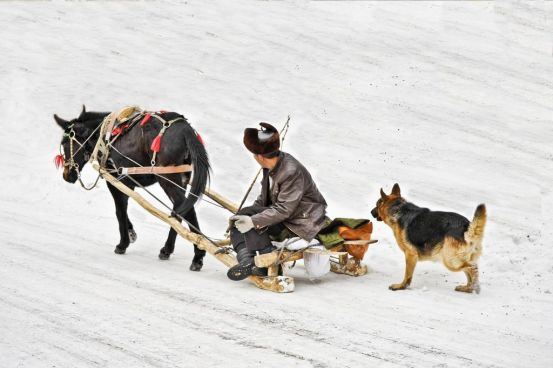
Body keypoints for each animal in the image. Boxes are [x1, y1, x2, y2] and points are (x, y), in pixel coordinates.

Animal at [54, 105, 209, 270]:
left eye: (64, 143)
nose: (66, 175)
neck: (104, 136)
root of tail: (186, 130)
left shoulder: (116, 179)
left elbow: (120, 211)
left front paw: (123, 243)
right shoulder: (129, 182)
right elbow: (124, 207)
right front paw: (131, 232)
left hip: (167, 179)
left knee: (184, 208)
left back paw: (197, 255)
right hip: (181, 179)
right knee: (180, 209)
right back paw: (168, 250)